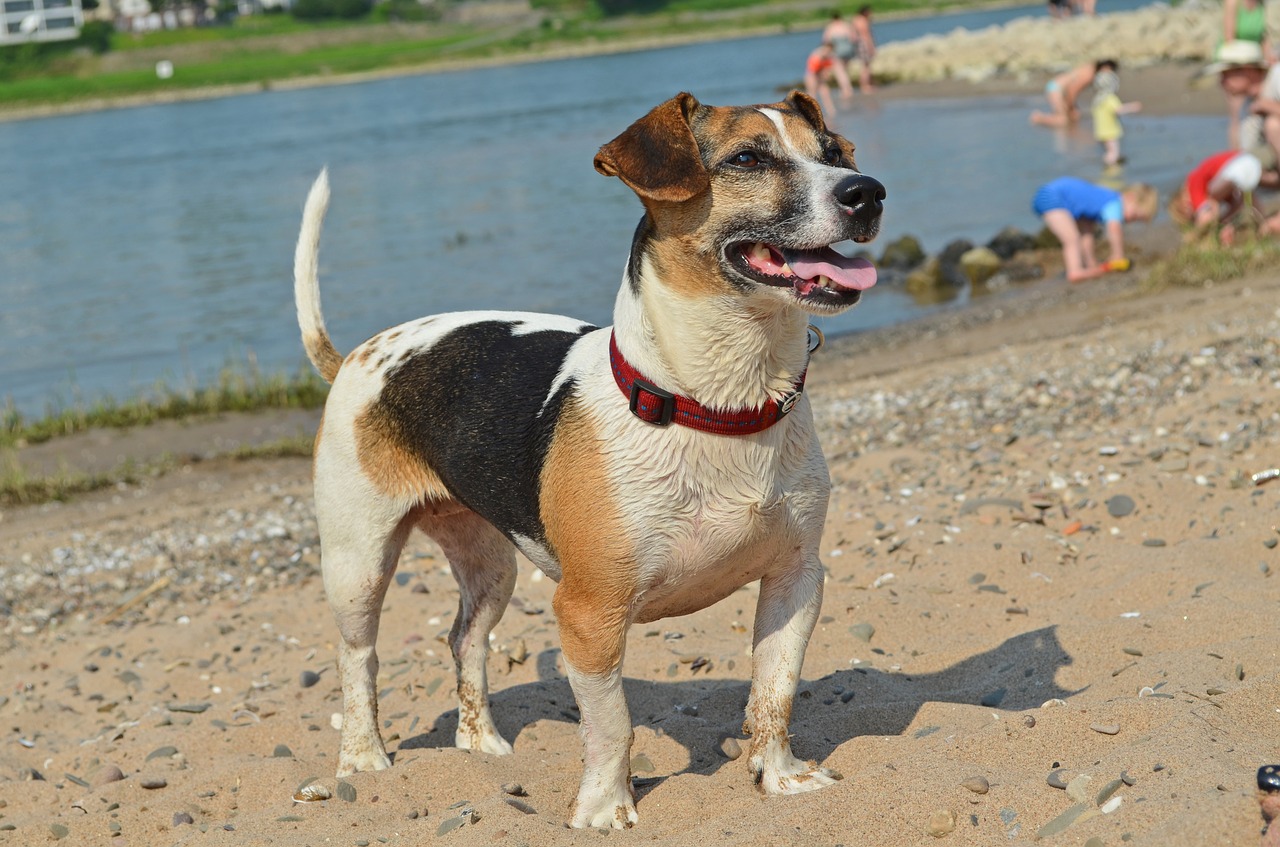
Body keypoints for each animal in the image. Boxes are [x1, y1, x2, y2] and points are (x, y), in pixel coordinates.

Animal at [293, 91, 885, 829]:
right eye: (748, 158)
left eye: (834, 152)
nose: (867, 192)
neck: (719, 406)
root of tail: (356, 355)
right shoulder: (589, 612)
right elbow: (613, 725)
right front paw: (605, 807)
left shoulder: (796, 580)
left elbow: (773, 693)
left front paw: (779, 776)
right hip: (358, 564)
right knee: (358, 659)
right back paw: (363, 758)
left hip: (492, 566)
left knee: (465, 642)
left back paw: (483, 744)